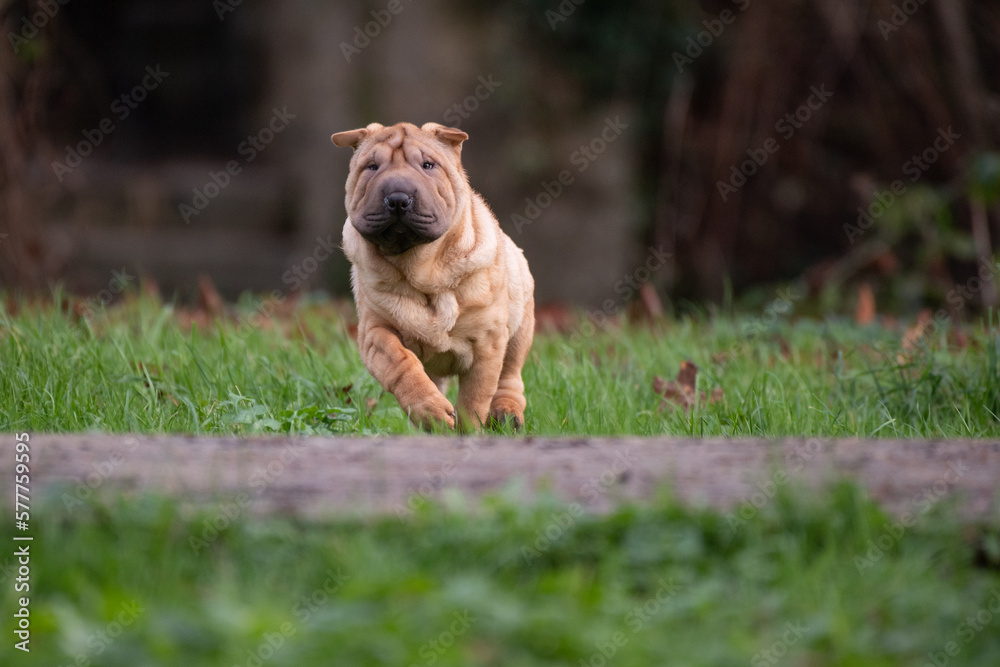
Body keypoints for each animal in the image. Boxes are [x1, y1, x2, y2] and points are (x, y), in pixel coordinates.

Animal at [332, 122, 536, 430]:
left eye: (428, 165)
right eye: (372, 167)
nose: (398, 198)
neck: (422, 270)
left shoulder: (488, 342)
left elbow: (475, 396)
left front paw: (469, 430)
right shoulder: (375, 332)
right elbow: (401, 363)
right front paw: (431, 411)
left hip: (520, 326)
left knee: (510, 375)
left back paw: (507, 414)